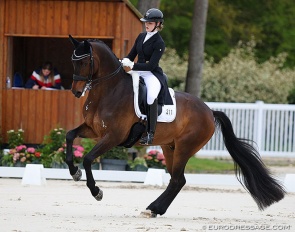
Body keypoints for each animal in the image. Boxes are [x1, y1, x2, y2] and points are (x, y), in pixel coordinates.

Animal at [66, 35, 286, 218]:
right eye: (73, 62)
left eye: (84, 62)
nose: (76, 92)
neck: (109, 91)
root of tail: (209, 111)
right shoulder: (93, 130)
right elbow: (69, 135)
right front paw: (74, 172)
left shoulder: (113, 136)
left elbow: (88, 158)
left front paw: (96, 191)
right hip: (169, 147)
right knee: (177, 179)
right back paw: (154, 209)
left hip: (184, 147)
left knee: (178, 180)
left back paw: (153, 208)